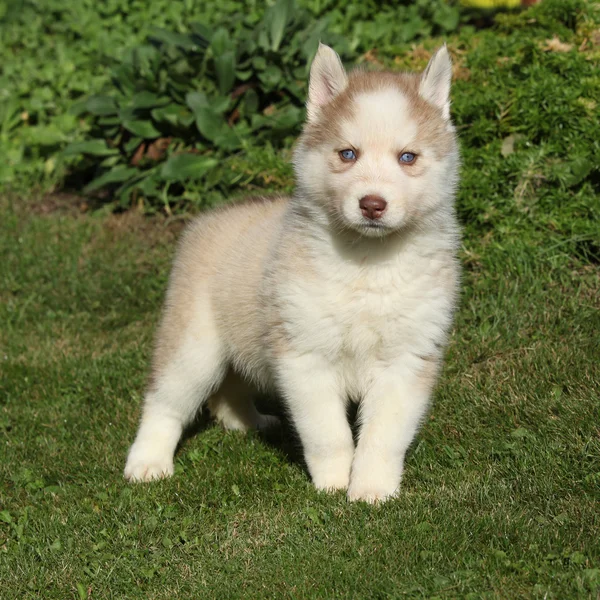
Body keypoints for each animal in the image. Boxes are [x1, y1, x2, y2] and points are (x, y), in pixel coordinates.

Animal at [125, 43, 460, 502]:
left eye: (407, 157)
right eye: (347, 154)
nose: (372, 204)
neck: (366, 263)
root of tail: (209, 217)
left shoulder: (406, 359)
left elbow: (383, 436)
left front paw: (373, 489)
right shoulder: (305, 356)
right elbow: (328, 433)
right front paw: (333, 483)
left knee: (228, 389)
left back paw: (248, 421)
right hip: (193, 345)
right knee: (164, 402)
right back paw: (147, 463)